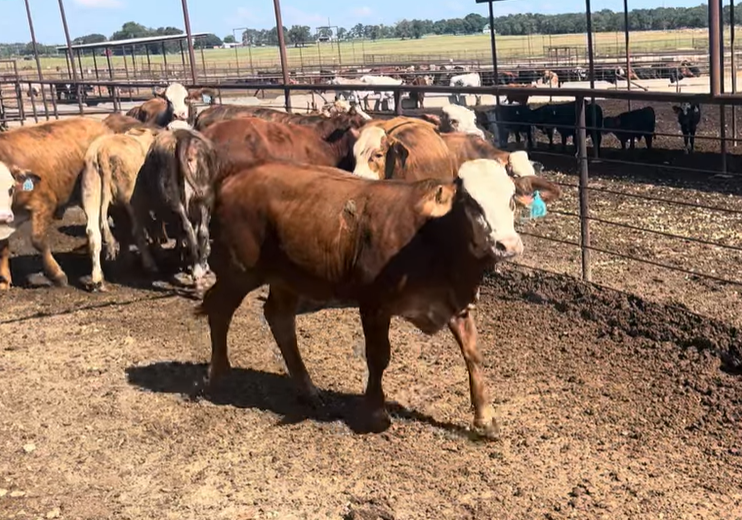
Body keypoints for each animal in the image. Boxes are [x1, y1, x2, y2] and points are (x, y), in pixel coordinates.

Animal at [0, 117, 110, 288]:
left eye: (10, 188)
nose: (5, 216)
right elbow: (3, 248)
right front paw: (4, 281)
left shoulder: (44, 203)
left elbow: (38, 240)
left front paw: (57, 275)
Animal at [81, 127, 160, 291]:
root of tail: (102, 151)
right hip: (132, 201)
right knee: (137, 231)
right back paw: (149, 264)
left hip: (90, 197)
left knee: (93, 233)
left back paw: (98, 279)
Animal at [195, 158, 561, 438]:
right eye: (470, 201)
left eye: (511, 198)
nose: (507, 245)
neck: (434, 238)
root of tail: (235, 177)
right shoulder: (374, 304)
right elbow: (378, 357)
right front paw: (374, 413)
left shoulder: (456, 303)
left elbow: (473, 355)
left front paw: (485, 419)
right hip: (238, 272)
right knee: (219, 309)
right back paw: (218, 376)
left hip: (287, 276)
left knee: (279, 318)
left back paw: (308, 389)